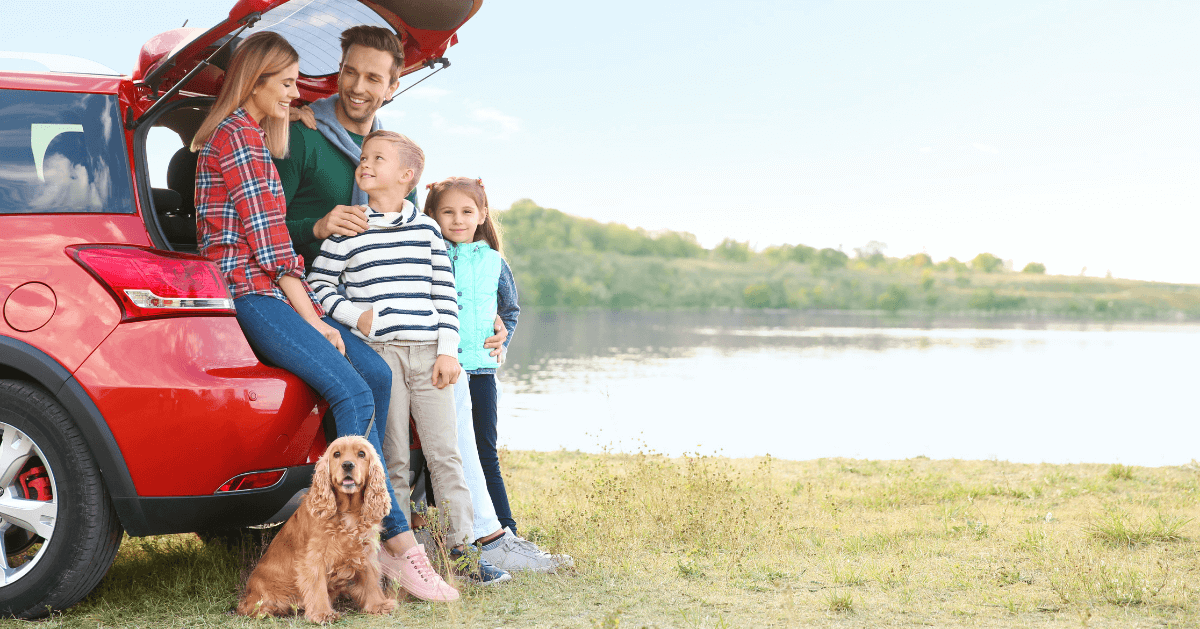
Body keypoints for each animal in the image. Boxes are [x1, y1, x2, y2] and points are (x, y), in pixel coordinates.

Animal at [236, 434, 396, 619]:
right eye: (336, 454)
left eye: (361, 454)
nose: (347, 464)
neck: (348, 511)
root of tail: (248, 592)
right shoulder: (314, 557)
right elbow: (317, 586)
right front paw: (322, 614)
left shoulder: (365, 549)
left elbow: (370, 578)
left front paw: (378, 605)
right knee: (251, 607)